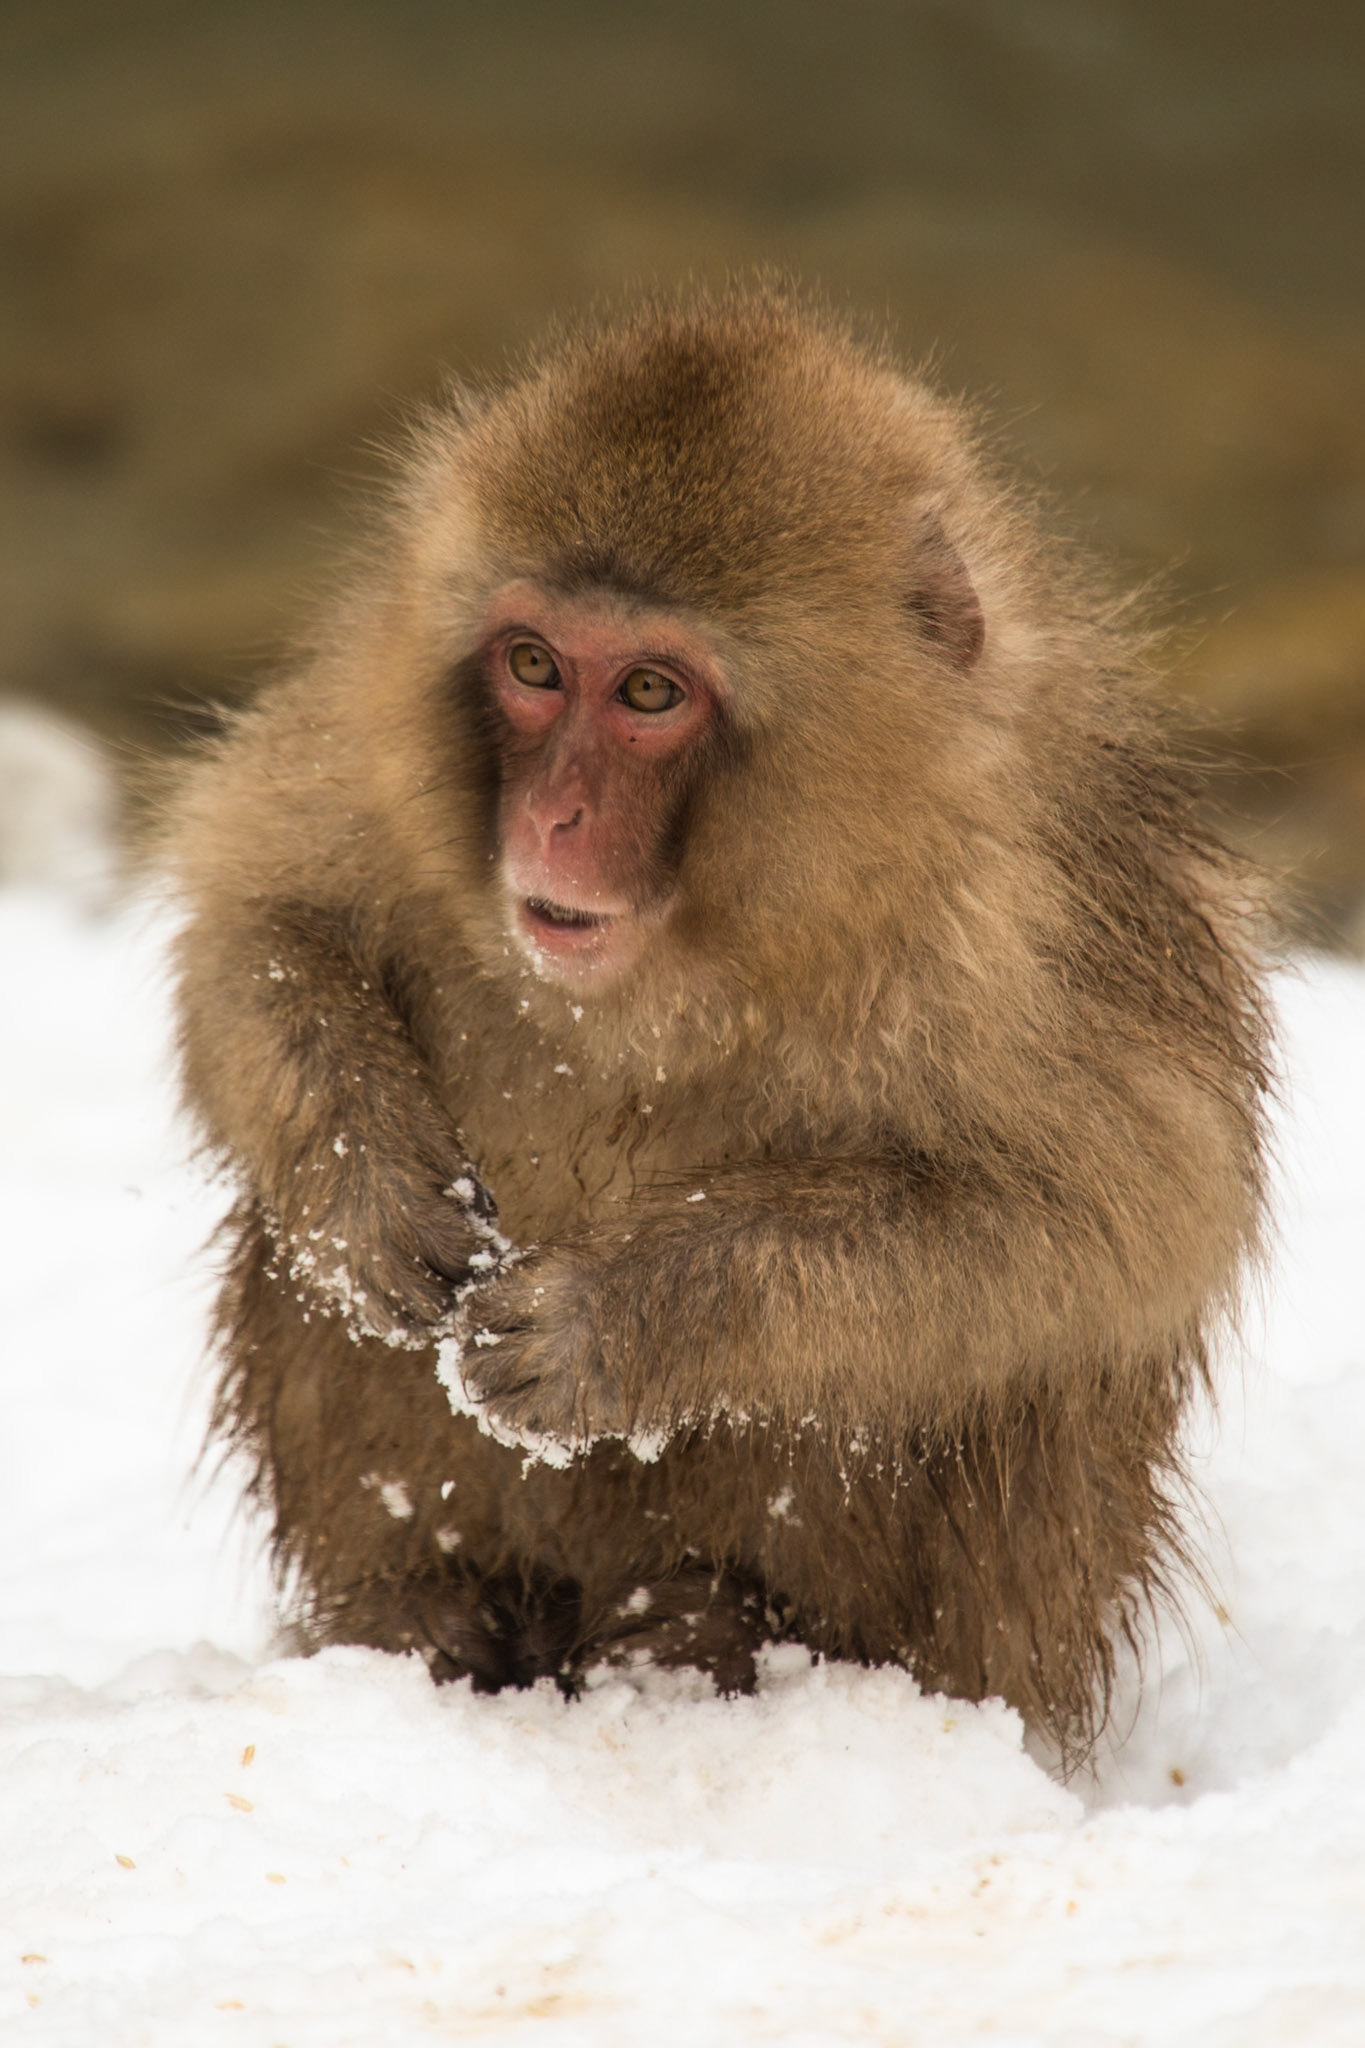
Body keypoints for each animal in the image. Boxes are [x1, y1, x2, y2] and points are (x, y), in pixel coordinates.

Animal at [164, 290, 1271, 1763]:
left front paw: (608, 1319)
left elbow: (1111, 1217)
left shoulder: (1024, 914)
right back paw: (425, 1619)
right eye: (532, 665)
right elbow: (260, 910)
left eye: (649, 692)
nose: (553, 817)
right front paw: (373, 1197)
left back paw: (703, 1637)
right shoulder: (368, 747)